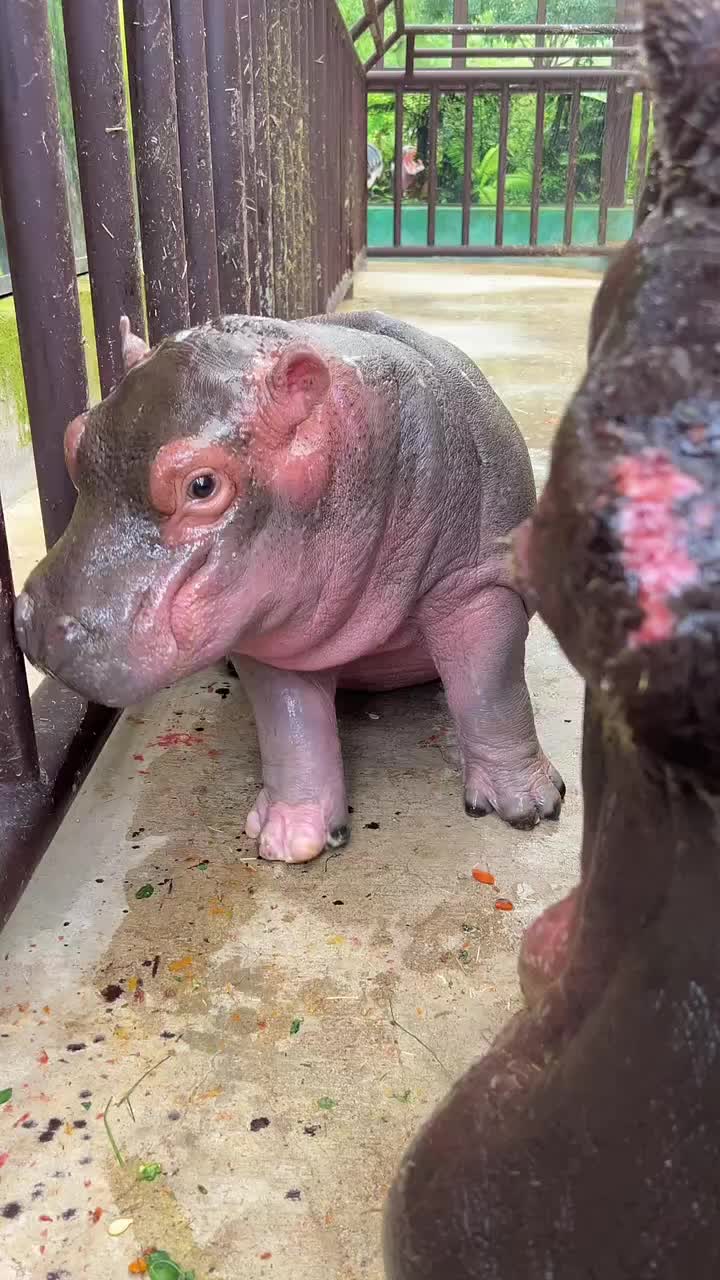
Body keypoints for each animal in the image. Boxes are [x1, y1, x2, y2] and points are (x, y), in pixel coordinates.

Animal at [14, 309, 563, 863]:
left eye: (202, 485)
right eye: (73, 440)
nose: (38, 622)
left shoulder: (474, 583)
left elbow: (491, 686)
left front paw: (532, 807)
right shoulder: (272, 627)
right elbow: (290, 723)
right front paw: (288, 839)